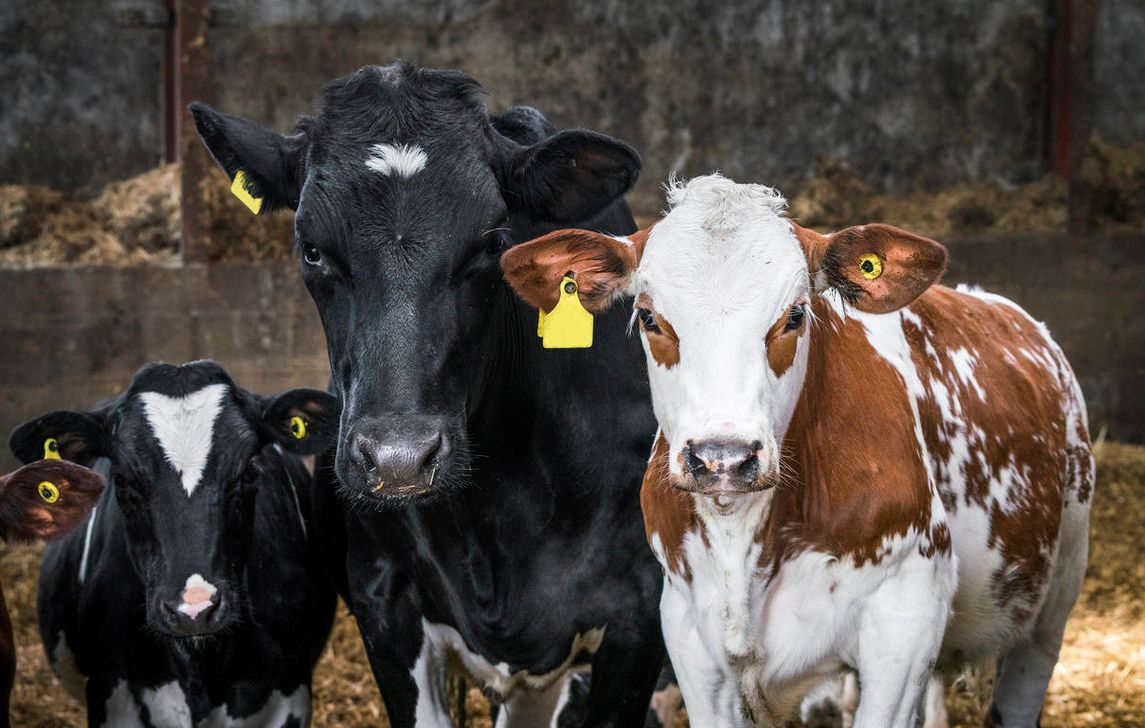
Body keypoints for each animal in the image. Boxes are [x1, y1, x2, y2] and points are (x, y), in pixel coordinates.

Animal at [501, 173, 1090, 723]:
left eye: (795, 315)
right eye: (649, 317)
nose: (723, 457)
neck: (743, 540)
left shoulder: (906, 618)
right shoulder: (687, 635)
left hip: (1055, 600)